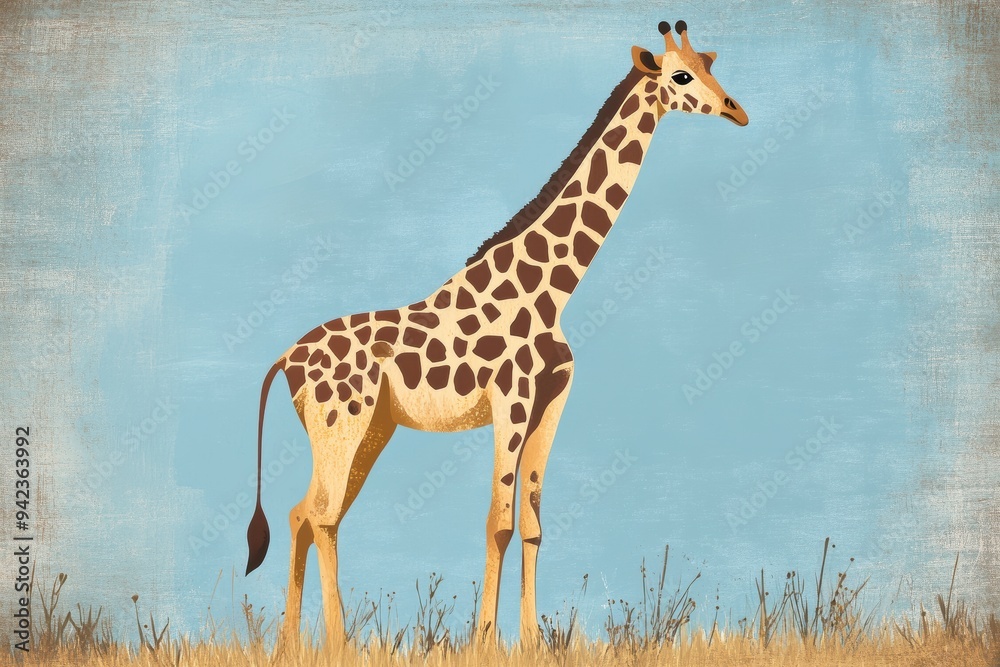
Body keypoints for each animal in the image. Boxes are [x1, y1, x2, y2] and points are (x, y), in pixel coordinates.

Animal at [245, 20, 748, 648]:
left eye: (710, 64)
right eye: (681, 75)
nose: (735, 110)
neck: (552, 289)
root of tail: (283, 359)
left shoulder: (551, 401)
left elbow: (532, 523)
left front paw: (532, 641)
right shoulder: (512, 396)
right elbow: (498, 522)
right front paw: (484, 638)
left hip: (368, 430)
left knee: (303, 513)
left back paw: (292, 642)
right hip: (342, 424)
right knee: (322, 515)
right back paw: (339, 645)